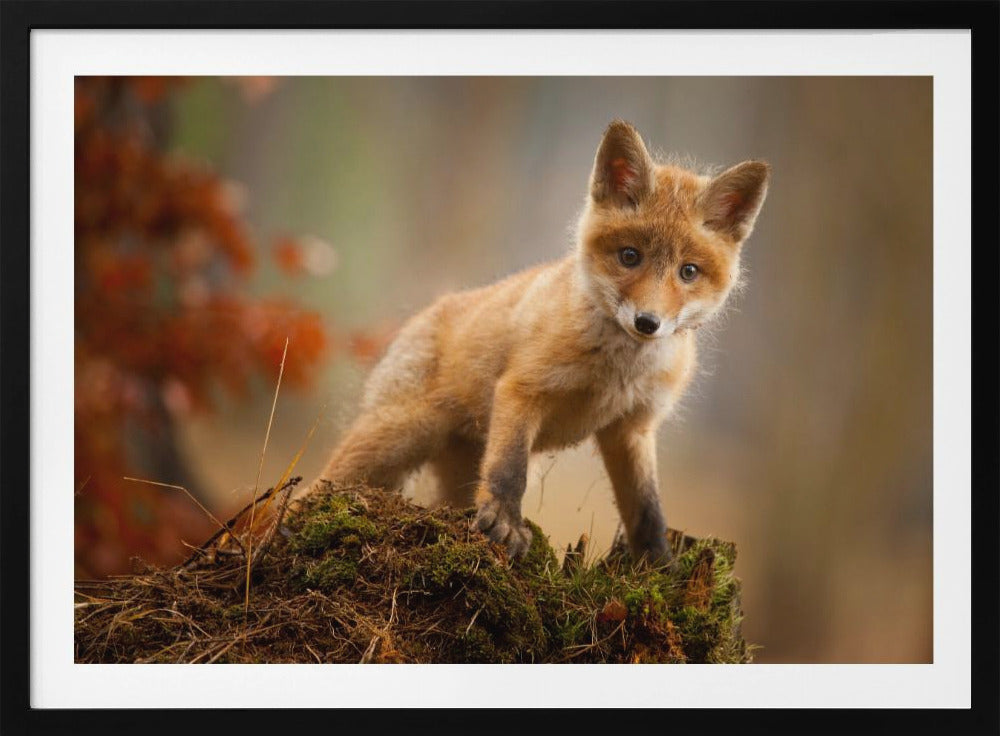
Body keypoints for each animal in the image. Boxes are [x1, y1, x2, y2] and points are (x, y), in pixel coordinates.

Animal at [317, 120, 769, 564]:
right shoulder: (523, 390)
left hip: (453, 470)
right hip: (395, 438)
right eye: (629, 256)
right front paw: (505, 524)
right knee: (318, 486)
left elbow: (647, 509)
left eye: (688, 271)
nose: (647, 322)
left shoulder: (632, 427)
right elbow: (509, 470)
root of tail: (424, 314)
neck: (616, 372)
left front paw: (658, 567)